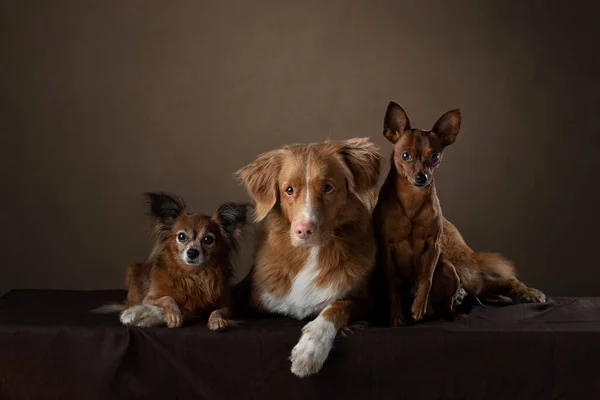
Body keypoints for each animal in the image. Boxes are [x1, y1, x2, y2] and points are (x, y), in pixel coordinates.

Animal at [96, 192, 251, 330]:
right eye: (181, 236)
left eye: (208, 239)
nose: (192, 252)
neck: (193, 275)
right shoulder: (150, 299)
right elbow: (168, 298)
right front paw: (173, 315)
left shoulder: (225, 305)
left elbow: (218, 311)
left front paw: (217, 320)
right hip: (132, 268)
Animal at [372, 101, 548, 326]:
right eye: (405, 156)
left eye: (434, 157)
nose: (422, 177)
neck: (411, 200)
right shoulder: (387, 248)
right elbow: (392, 284)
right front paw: (396, 316)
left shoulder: (432, 246)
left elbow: (426, 278)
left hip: (458, 265)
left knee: (498, 279)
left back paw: (527, 292)